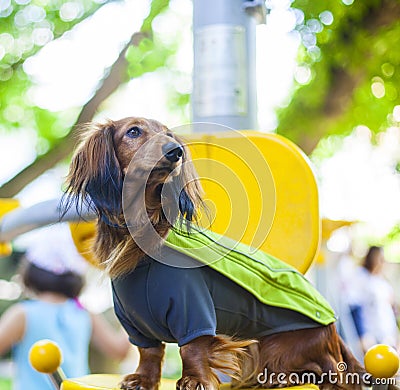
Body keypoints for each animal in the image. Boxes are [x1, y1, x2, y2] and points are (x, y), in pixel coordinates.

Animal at [62, 117, 366, 390]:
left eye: (169, 133)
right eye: (133, 131)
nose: (175, 151)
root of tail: (334, 331)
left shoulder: (192, 308)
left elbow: (191, 348)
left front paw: (194, 380)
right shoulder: (135, 322)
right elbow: (149, 352)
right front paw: (142, 380)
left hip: (277, 347)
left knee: (326, 372)